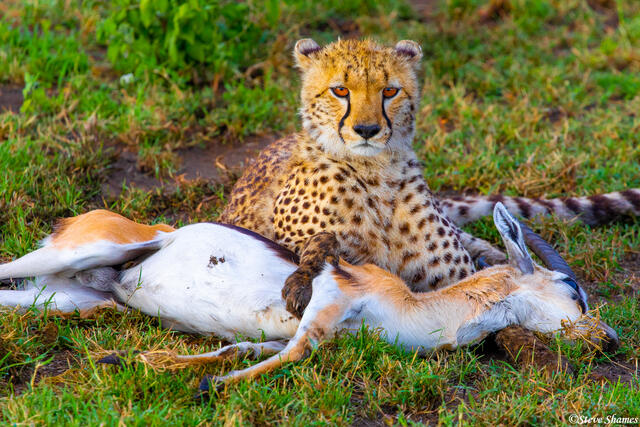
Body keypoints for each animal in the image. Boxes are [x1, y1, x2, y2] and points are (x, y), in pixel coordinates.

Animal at [0, 204, 618, 394]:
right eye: (574, 291)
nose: (609, 338)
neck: (418, 312)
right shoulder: (329, 301)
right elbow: (298, 353)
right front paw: (209, 388)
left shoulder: (286, 330)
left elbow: (240, 349)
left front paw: (138, 360)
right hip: (82, 252)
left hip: (67, 299)